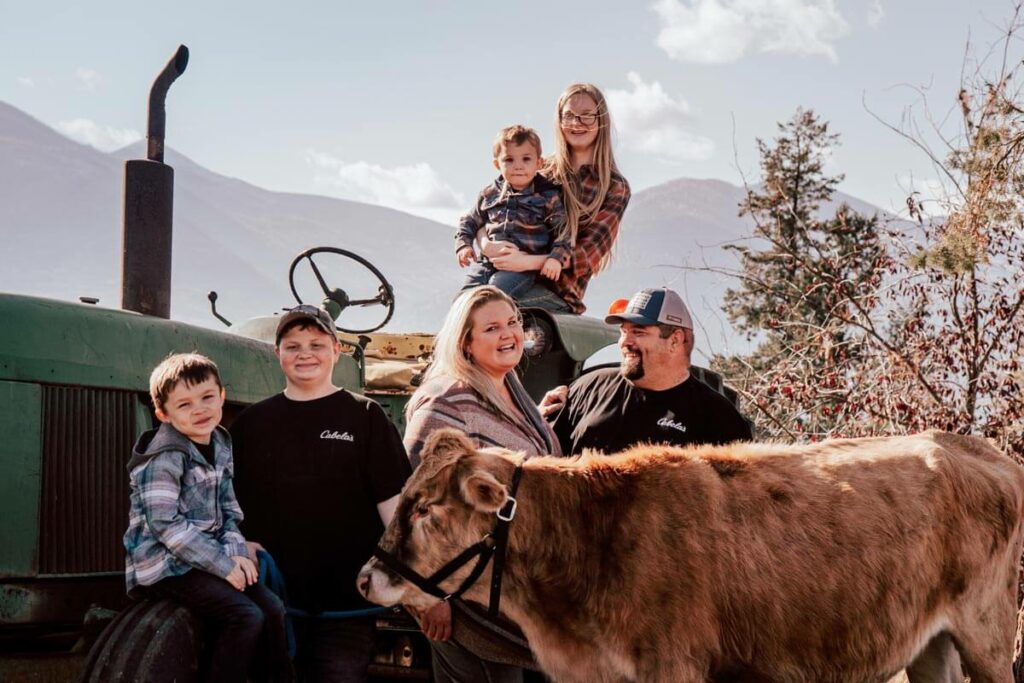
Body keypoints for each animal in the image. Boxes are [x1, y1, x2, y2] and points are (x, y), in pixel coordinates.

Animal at [358, 430, 1024, 679]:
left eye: (426, 509)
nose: (366, 578)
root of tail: (967, 443)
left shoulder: (673, 666)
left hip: (988, 636)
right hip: (933, 644)